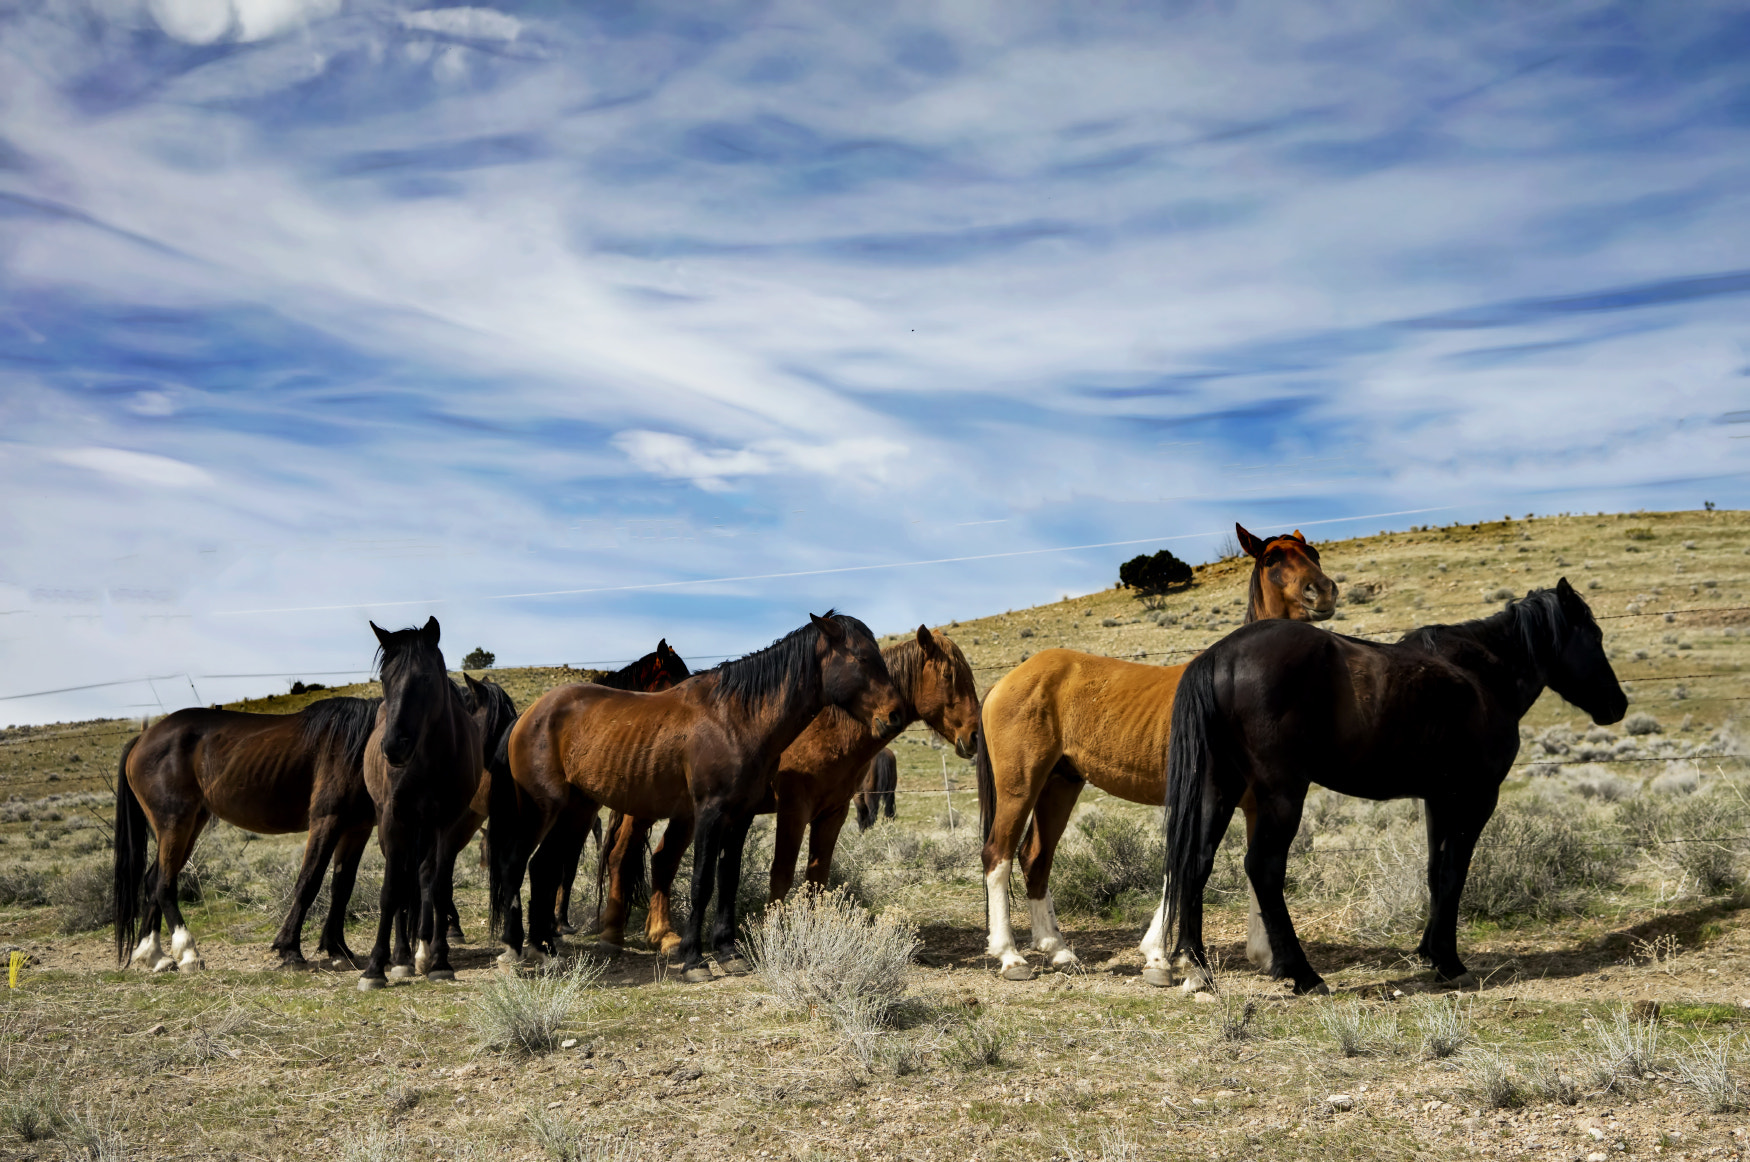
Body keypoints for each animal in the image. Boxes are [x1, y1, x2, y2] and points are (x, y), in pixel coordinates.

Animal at [357, 616, 483, 987]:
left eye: (425, 678)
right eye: (385, 678)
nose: (393, 746)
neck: (429, 760)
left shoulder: (448, 822)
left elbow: (438, 885)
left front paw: (440, 960)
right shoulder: (393, 819)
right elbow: (391, 890)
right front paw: (375, 967)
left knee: (423, 876)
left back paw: (422, 950)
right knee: (402, 881)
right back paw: (400, 956)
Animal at [490, 612, 903, 987]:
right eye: (862, 658)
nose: (894, 714)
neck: (735, 719)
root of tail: (529, 714)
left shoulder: (741, 816)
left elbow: (728, 879)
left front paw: (729, 953)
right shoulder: (709, 813)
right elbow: (702, 882)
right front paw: (694, 960)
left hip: (575, 811)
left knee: (542, 866)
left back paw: (545, 949)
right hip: (543, 809)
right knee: (515, 863)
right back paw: (514, 949)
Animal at [598, 630, 987, 959]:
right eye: (949, 675)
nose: (975, 736)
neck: (830, 725)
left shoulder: (833, 813)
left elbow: (817, 877)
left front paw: (811, 931)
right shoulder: (794, 808)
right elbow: (782, 872)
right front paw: (774, 930)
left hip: (686, 813)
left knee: (662, 859)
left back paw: (662, 936)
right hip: (649, 809)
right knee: (621, 856)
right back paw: (614, 934)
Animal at [973, 525, 1337, 980]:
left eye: (1314, 555)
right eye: (1272, 560)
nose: (1322, 591)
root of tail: (1007, 679)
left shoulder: (1257, 804)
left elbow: (1256, 866)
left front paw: (1264, 955)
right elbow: (1186, 863)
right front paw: (1160, 957)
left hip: (1059, 785)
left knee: (1035, 857)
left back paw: (1057, 949)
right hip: (1020, 786)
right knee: (998, 855)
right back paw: (1009, 955)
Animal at [1155, 584, 1631, 994]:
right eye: (1594, 635)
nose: (1618, 704)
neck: (1481, 675)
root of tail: (1219, 657)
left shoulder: (1439, 800)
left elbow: (1435, 872)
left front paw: (1429, 952)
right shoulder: (1476, 797)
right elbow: (1455, 873)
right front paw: (1449, 962)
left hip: (1220, 787)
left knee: (1197, 863)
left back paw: (1198, 968)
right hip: (1282, 793)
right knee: (1264, 869)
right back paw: (1303, 974)